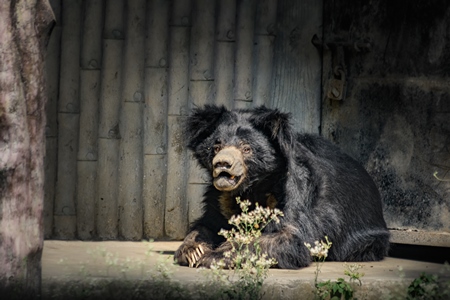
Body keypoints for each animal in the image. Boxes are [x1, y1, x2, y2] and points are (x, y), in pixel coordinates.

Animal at [176, 105, 390, 270]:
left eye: (246, 148)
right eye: (216, 147)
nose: (222, 164)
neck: (253, 187)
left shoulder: (293, 195)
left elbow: (289, 239)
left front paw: (213, 256)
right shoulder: (221, 199)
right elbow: (207, 224)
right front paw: (193, 250)